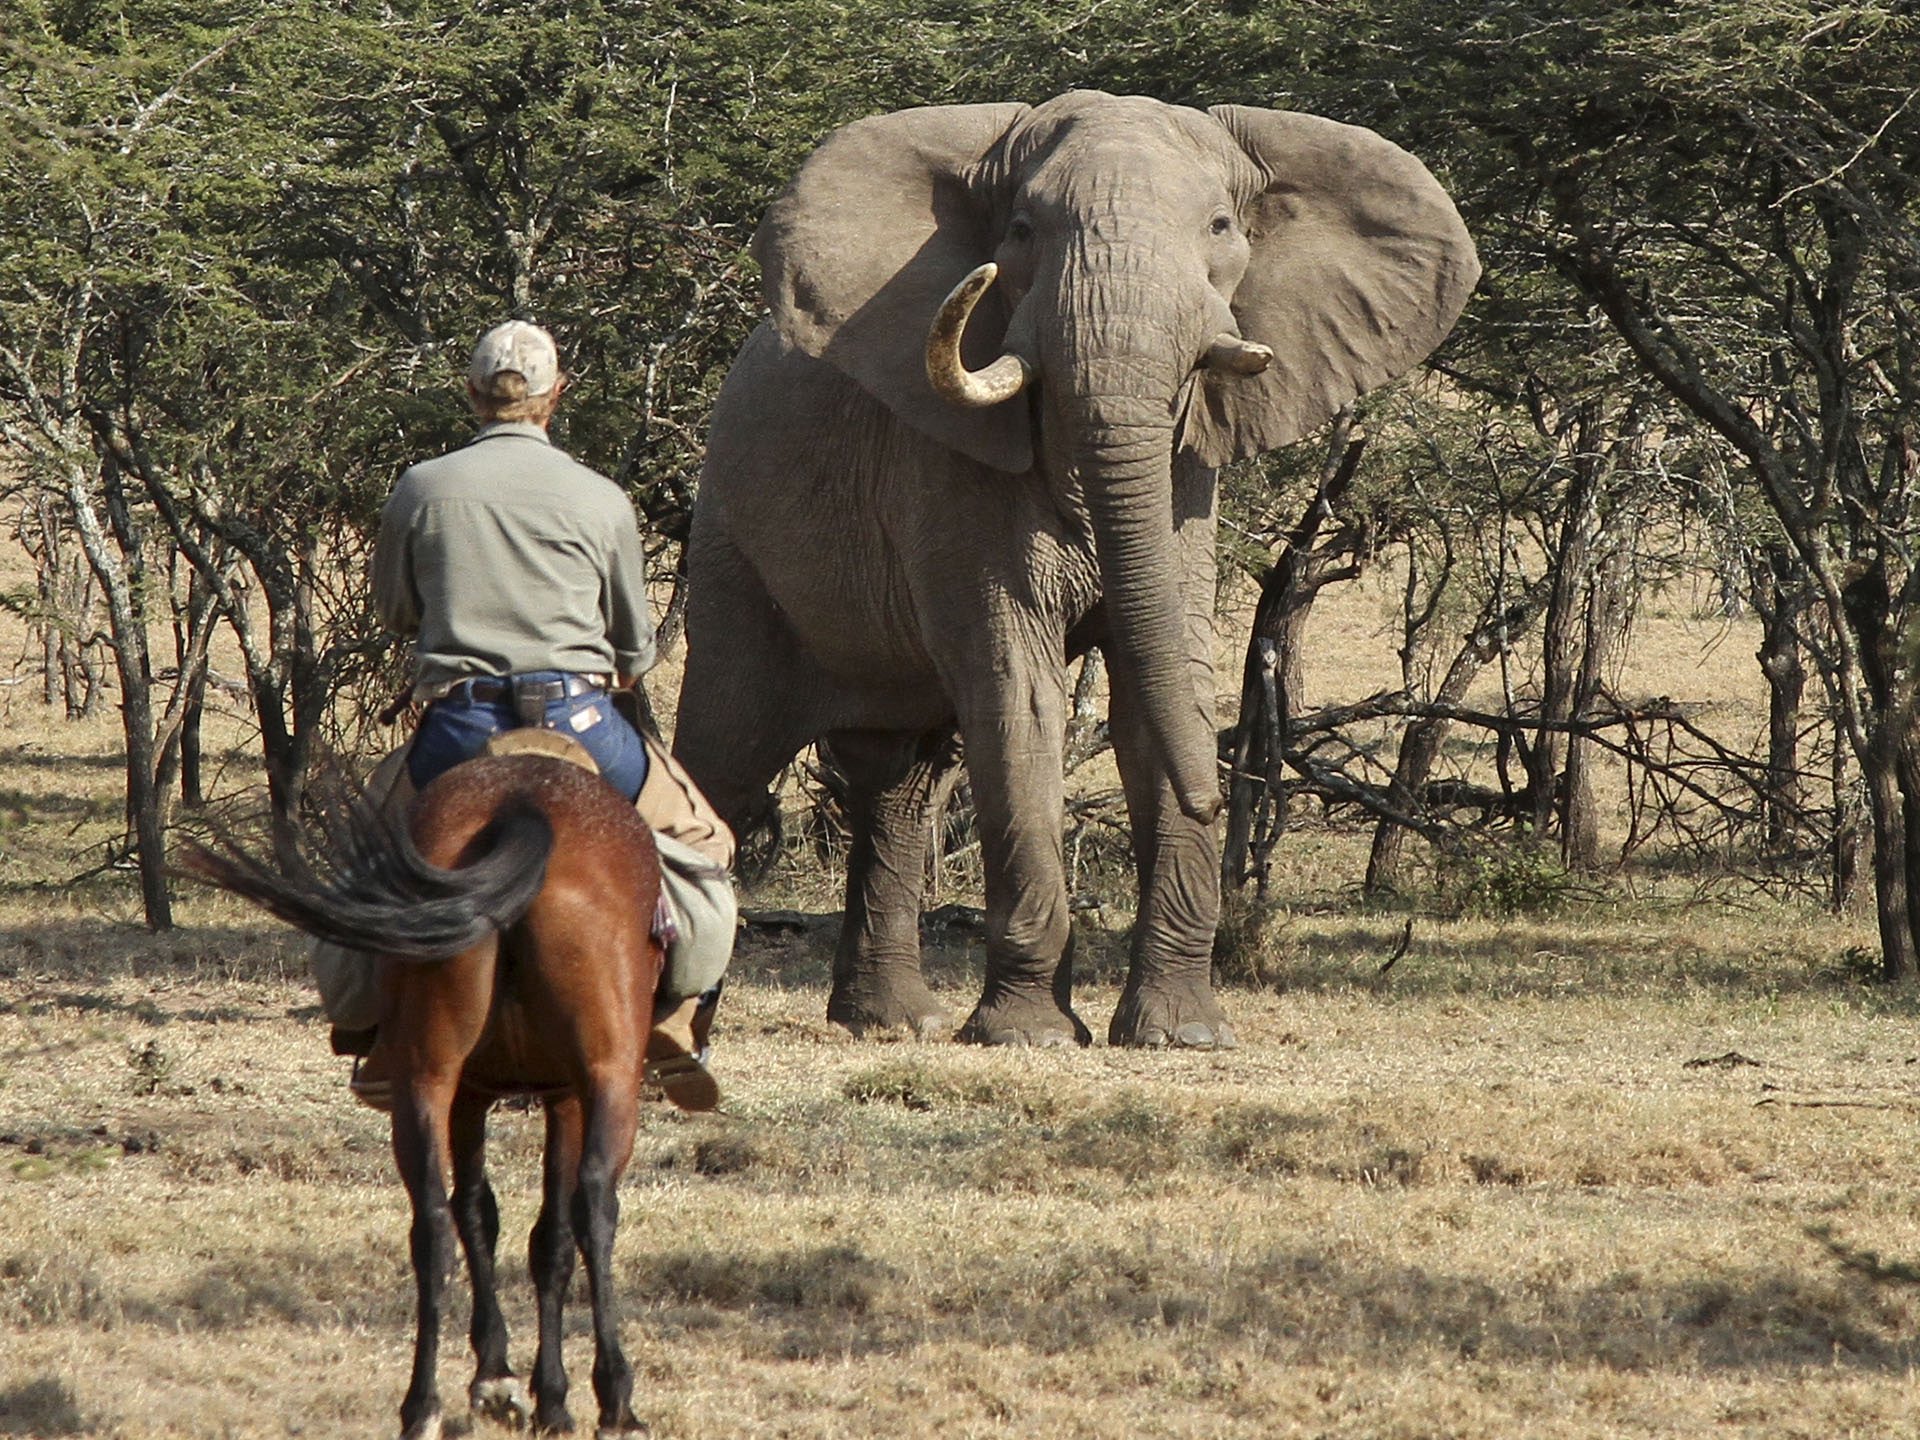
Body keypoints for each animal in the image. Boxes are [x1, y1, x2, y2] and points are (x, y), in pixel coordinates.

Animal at [189, 756, 660, 1440]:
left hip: (427, 1077)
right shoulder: (566, 1094)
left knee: (433, 1223)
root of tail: (522, 806)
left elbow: (477, 1211)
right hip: (610, 1076)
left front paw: (498, 1377)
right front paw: (550, 1396)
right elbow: (548, 1238)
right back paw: (617, 1398)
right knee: (594, 1204)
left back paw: (423, 1405)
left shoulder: (471, 1093)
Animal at [675, 90, 1482, 1052]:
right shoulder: (950, 471)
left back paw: (895, 1023)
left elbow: (1161, 680)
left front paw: (1181, 1035)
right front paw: (1029, 1036)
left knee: (900, 784)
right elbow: (1017, 689)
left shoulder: (1186, 482)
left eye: (1221, 227)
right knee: (721, 761)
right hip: (731, 544)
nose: (1218, 798)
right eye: (1021, 231)